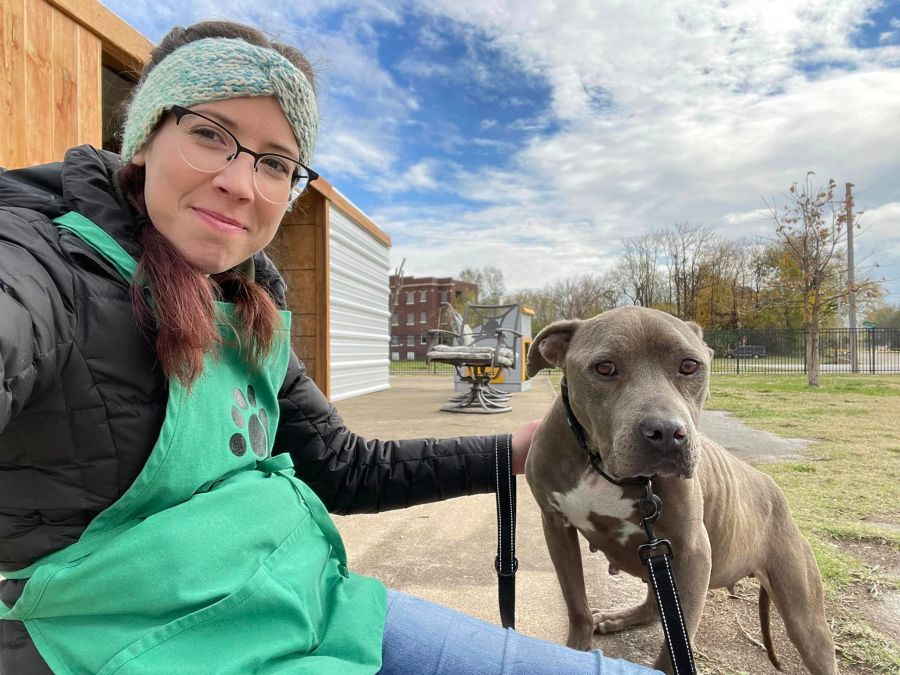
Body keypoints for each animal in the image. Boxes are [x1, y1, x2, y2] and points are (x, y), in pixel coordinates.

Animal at [524, 308, 840, 675]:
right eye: (604, 368)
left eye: (689, 365)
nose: (666, 432)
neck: (601, 466)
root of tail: (774, 490)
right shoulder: (555, 526)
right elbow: (576, 602)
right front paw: (576, 646)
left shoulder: (692, 556)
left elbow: (674, 646)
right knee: (652, 604)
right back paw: (620, 618)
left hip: (803, 615)